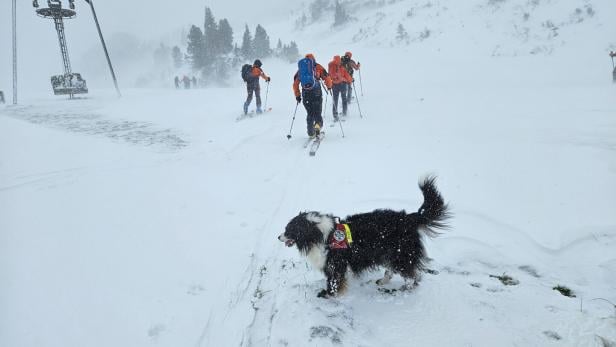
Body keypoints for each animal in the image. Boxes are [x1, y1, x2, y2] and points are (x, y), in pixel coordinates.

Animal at [278, 177, 448, 300]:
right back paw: (383, 281)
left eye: (289, 230)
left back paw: (404, 289)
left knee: (413, 276)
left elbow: (333, 281)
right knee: (394, 270)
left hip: (401, 254)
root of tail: (408, 218)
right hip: (390, 253)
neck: (319, 234)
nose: (278, 236)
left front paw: (328, 295)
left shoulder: (334, 264)